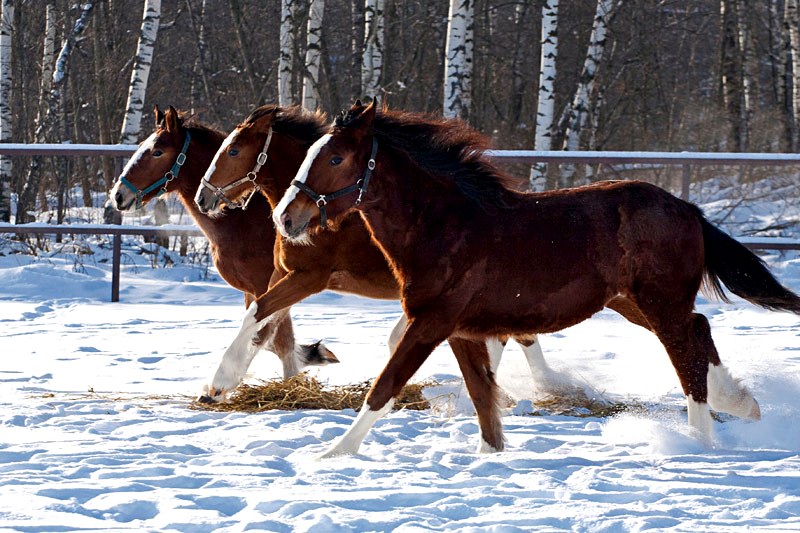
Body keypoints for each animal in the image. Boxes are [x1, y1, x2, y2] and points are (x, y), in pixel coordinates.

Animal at [107, 106, 338, 396]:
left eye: (157, 151)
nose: (118, 195)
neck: (245, 220)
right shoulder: (254, 291)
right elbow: (265, 337)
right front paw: (312, 354)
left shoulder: (276, 285)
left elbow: (278, 340)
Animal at [193, 104, 564, 418]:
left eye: (234, 150)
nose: (203, 196)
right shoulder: (282, 274)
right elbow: (264, 328)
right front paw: (227, 386)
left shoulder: (309, 277)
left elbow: (259, 317)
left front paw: (219, 384)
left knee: (510, 337)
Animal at [274, 97, 800, 456]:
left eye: (336, 158)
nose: (285, 217)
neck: (446, 226)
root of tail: (687, 208)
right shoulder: (460, 329)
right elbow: (482, 396)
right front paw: (490, 454)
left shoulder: (430, 322)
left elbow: (384, 388)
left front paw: (330, 455)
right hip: (631, 302)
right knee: (700, 329)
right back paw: (742, 404)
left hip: (658, 302)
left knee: (686, 352)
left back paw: (698, 438)